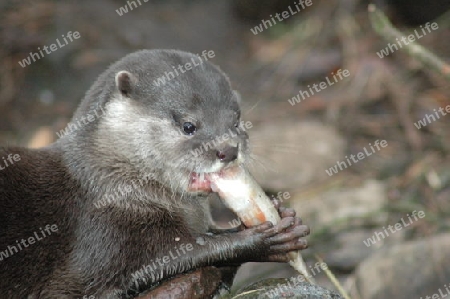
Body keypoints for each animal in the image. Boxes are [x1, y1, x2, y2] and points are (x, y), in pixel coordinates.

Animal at [0, 50, 310, 298]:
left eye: (236, 120)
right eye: (188, 126)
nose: (228, 150)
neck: (110, 187)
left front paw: (286, 216)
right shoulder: (101, 237)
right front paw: (260, 241)